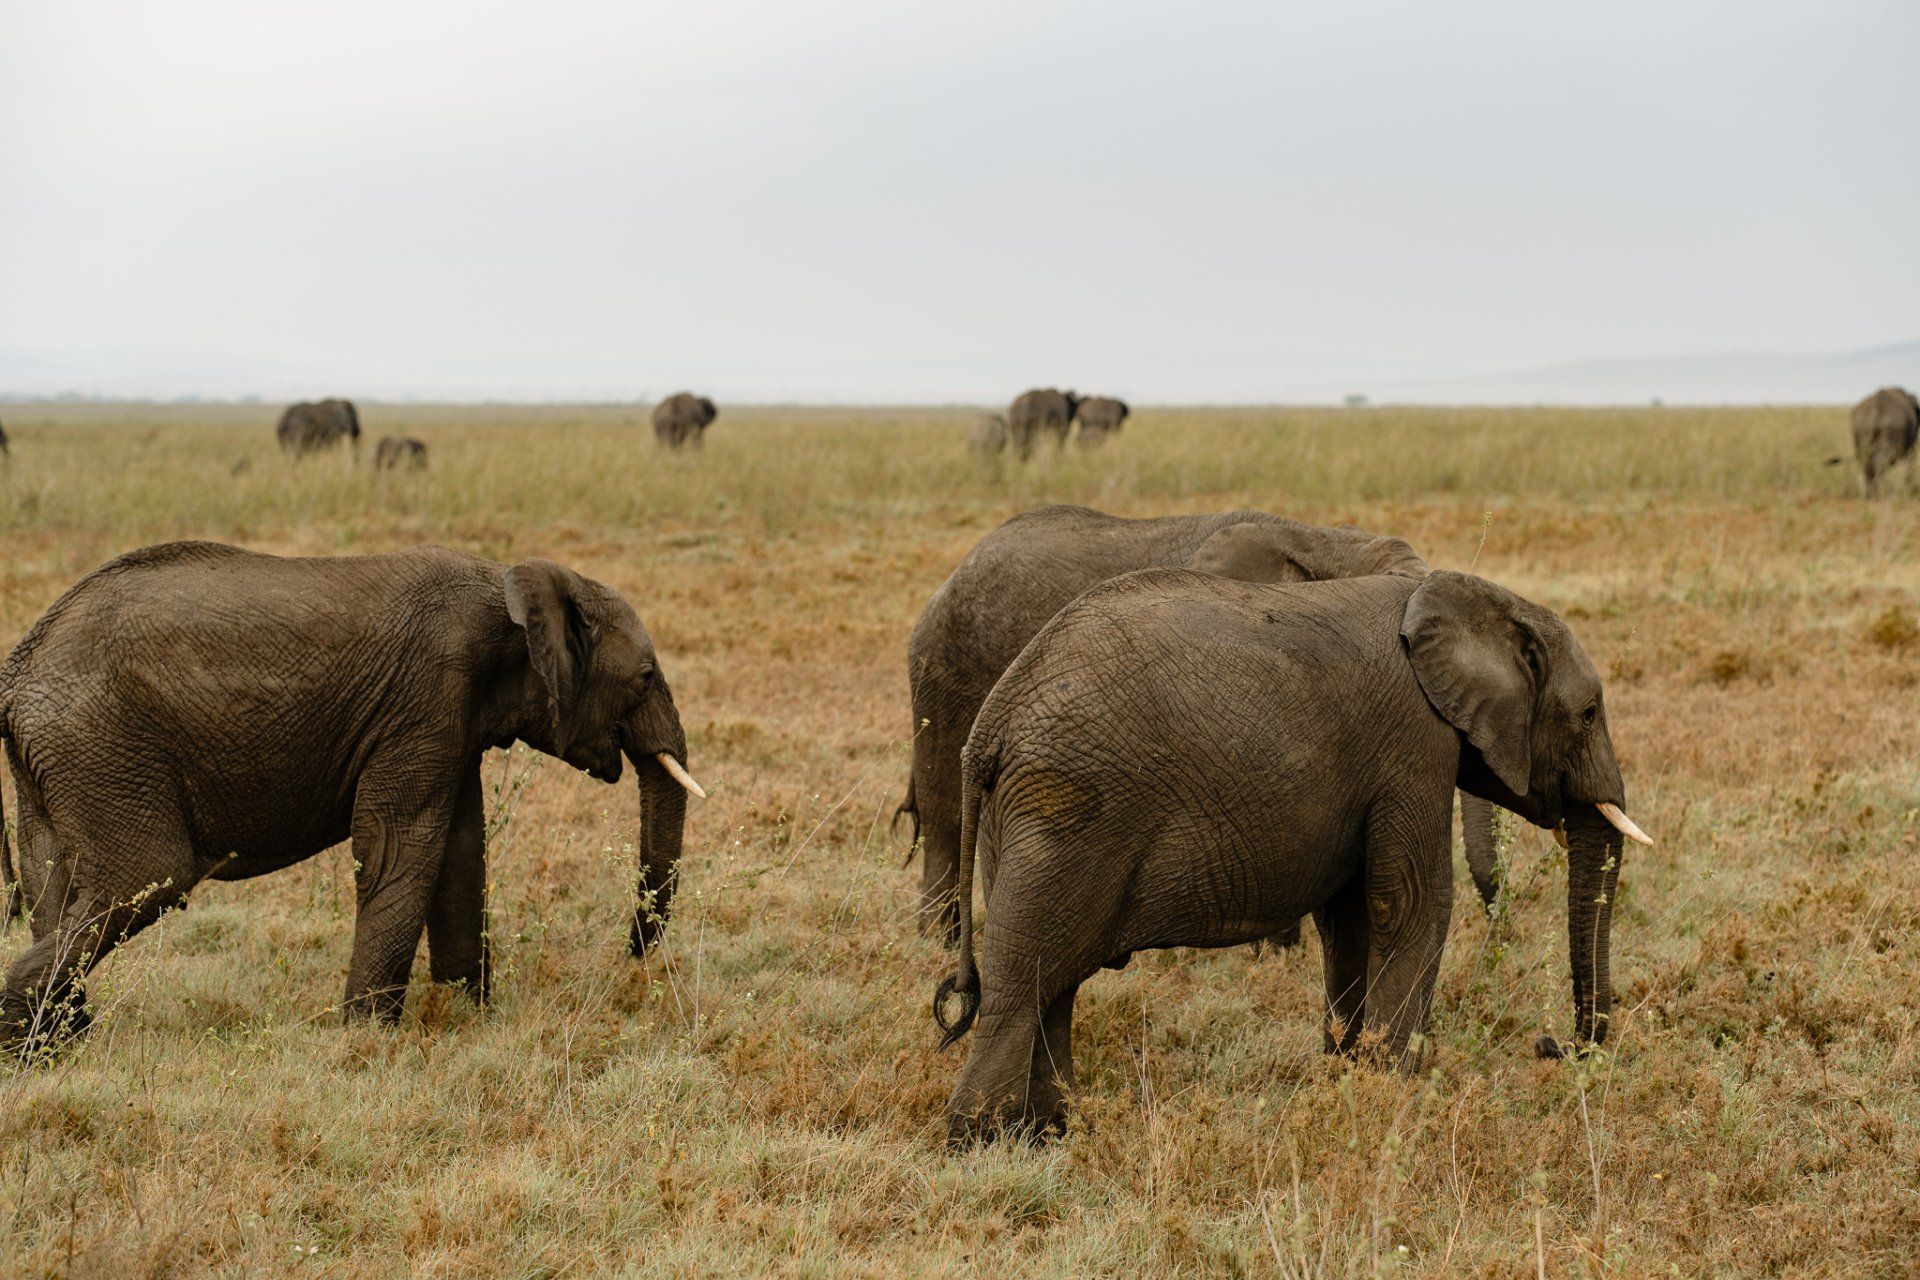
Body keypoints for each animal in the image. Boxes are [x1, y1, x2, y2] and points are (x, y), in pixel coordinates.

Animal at [0, 541, 704, 1051]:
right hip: (100, 744)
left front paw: (467, 1019)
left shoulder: (449, 721)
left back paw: (62, 1046)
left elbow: (459, 853)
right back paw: (25, 1043)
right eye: (645, 677)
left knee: (53, 883)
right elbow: (401, 847)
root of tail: (16, 673)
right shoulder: (426, 697)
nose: (633, 959)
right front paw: (369, 1042)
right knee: (149, 876)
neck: (507, 583)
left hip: (56, 762)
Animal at [900, 505, 1505, 942]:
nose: (1496, 919)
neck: (1319, 537)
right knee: (944, 811)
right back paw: (939, 942)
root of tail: (951, 576)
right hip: (945, 670)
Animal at [933, 568, 1652, 1145]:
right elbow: (1411, 905)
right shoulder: (1416, 743)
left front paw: (1345, 1078)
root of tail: (992, 722)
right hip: (1068, 807)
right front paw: (1387, 1100)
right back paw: (983, 1144)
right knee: (1023, 981)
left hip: (1020, 817)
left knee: (1053, 981)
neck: (1477, 597)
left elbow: (1350, 920)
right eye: (1590, 713)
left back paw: (1054, 1133)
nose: (1551, 1045)